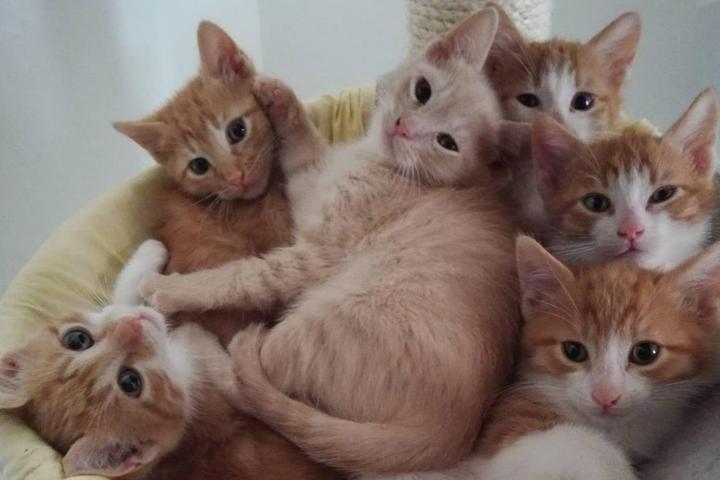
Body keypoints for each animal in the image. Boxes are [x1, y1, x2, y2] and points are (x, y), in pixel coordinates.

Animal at [140, 8, 522, 476]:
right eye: (423, 90)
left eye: (447, 142)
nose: (404, 127)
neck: (380, 163)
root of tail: (453, 432)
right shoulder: (309, 184)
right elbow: (304, 148)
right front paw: (278, 95)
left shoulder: (313, 252)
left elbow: (241, 277)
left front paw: (171, 288)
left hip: (320, 321)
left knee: (246, 383)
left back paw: (198, 341)